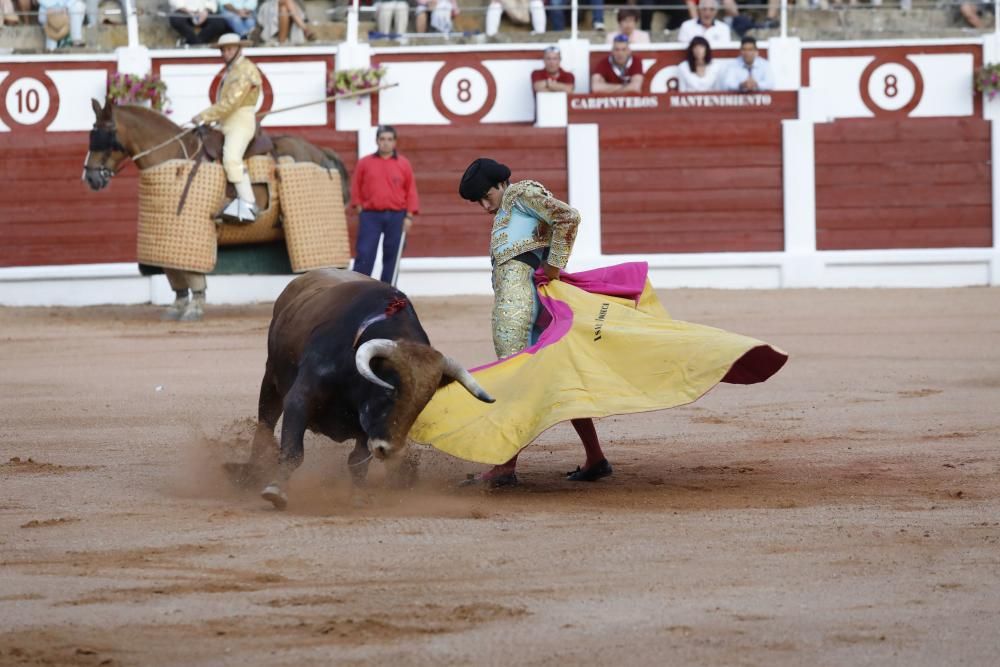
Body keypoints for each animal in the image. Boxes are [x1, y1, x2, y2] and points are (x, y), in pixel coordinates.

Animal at [84, 96, 354, 320]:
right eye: (91, 135)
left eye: (106, 138)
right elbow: (174, 273)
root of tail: (319, 151)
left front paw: (194, 309)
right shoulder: (164, 238)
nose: (90, 177)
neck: (173, 154)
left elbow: (192, 275)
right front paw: (177, 307)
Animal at [225, 268, 494, 508]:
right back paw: (252, 472)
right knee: (266, 423)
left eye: (424, 402)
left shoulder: (368, 427)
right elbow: (293, 451)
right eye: (389, 390)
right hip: (271, 378)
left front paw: (359, 496)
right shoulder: (300, 399)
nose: (389, 450)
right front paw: (276, 490)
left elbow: (358, 462)